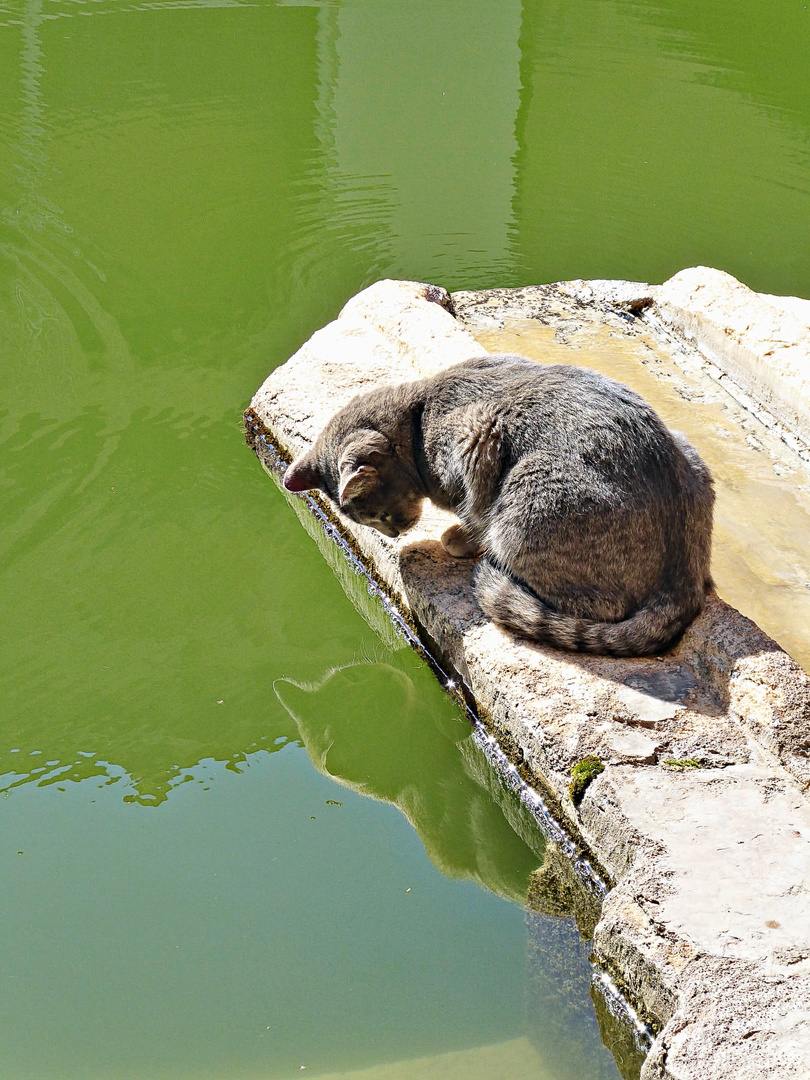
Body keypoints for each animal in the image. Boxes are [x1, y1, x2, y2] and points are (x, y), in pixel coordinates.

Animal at [282, 354, 712, 656]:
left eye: (376, 514)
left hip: (529, 499)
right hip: (688, 450)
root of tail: (686, 574)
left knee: (601, 605)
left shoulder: (476, 437)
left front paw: (460, 539)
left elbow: (474, 511)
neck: (420, 415)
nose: (393, 531)